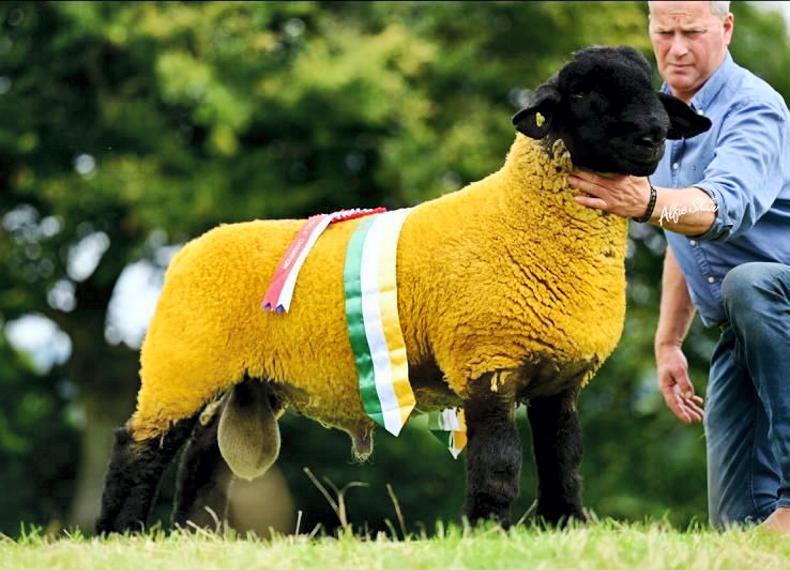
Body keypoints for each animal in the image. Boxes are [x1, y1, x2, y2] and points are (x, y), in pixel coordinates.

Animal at [95, 45, 710, 534]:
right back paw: (118, 535)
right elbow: (498, 463)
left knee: (201, 456)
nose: (652, 134)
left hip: (240, 377)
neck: (520, 216)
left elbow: (564, 460)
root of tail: (195, 246)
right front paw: (486, 533)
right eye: (581, 92)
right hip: (182, 364)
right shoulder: (486, 363)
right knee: (139, 447)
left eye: (652, 86)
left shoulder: (560, 379)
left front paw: (567, 527)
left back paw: (192, 535)